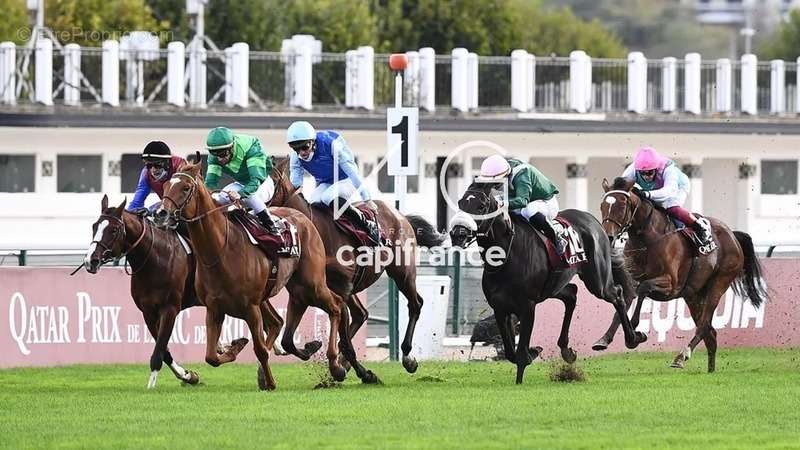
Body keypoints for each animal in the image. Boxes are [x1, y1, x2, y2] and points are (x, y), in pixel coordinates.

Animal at [83, 195, 209, 388]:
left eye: (114, 230)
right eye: (94, 226)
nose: (91, 261)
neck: (156, 259)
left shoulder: (169, 309)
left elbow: (159, 350)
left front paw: (151, 386)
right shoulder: (148, 311)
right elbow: (163, 350)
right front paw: (188, 375)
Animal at [155, 159, 352, 390]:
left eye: (185, 188)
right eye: (166, 185)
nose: (160, 214)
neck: (221, 250)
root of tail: (303, 217)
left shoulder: (251, 307)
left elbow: (260, 350)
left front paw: (270, 382)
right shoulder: (214, 308)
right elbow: (211, 357)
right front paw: (237, 346)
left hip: (312, 283)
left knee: (336, 306)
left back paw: (336, 366)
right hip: (297, 289)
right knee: (283, 324)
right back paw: (308, 351)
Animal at [270, 156, 450, 382]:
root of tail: (400, 215)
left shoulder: (339, 292)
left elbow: (345, 342)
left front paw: (359, 372)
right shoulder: (307, 294)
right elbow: (291, 341)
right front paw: (348, 367)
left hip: (402, 272)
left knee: (415, 304)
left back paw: (408, 357)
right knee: (362, 314)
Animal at [446, 181, 648, 384]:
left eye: (481, 206)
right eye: (461, 203)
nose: (457, 234)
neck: (506, 256)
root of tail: (594, 221)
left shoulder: (527, 306)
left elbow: (520, 354)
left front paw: (521, 377)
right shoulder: (500, 308)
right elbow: (510, 352)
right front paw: (533, 351)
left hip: (597, 281)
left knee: (617, 294)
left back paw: (631, 338)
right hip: (555, 285)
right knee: (572, 294)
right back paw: (567, 350)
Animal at [592, 178, 768, 370]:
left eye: (622, 205)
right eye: (602, 205)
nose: (608, 236)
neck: (646, 240)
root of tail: (733, 235)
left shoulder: (670, 285)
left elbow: (643, 289)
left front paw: (634, 331)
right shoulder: (633, 280)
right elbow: (622, 302)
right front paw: (606, 339)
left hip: (719, 282)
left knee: (704, 325)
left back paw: (681, 356)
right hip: (693, 294)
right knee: (711, 334)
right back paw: (710, 370)